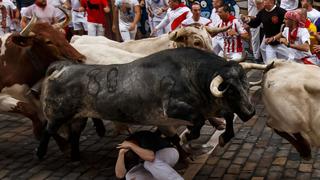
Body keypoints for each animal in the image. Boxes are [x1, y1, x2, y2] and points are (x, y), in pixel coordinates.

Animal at [37, 47, 258, 159]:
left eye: (246, 85)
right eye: (231, 90)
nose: (250, 113)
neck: (192, 75)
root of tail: (63, 67)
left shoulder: (211, 108)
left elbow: (228, 116)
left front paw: (223, 137)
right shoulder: (174, 109)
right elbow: (197, 121)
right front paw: (188, 136)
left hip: (78, 117)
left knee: (74, 133)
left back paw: (75, 155)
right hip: (58, 114)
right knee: (48, 130)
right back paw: (40, 153)